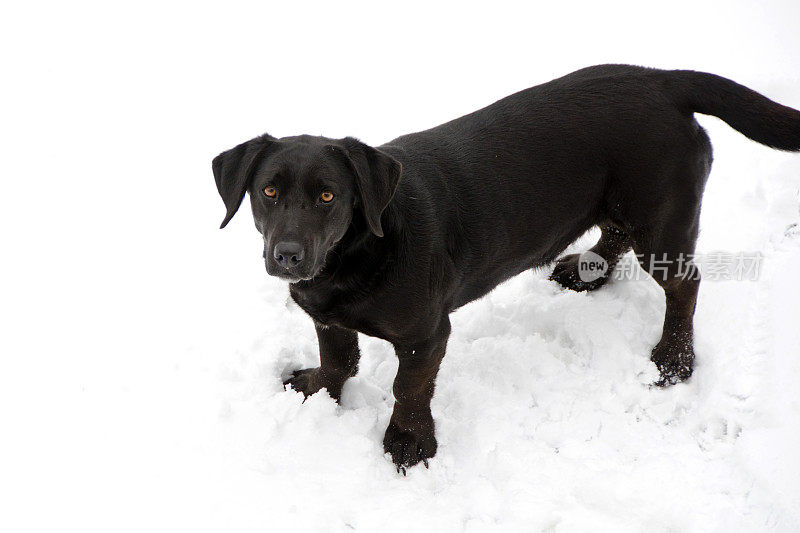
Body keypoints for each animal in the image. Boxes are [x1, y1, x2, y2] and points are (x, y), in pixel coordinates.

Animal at [214, 65, 800, 470]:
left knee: (686, 285)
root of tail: (662, 79)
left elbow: (409, 389)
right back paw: (587, 271)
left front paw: (409, 442)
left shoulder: (427, 335)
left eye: (328, 196)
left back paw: (673, 359)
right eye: (268, 192)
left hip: (661, 218)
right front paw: (317, 389)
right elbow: (338, 358)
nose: (288, 255)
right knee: (614, 234)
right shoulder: (325, 315)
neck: (356, 256)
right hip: (620, 205)